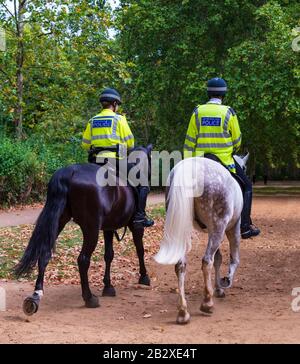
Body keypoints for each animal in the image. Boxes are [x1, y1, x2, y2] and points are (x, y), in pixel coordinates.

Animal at [14, 144, 152, 312]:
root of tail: (69, 172)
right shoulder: (135, 226)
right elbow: (140, 249)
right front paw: (144, 276)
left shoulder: (108, 228)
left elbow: (109, 255)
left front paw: (108, 286)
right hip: (90, 228)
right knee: (83, 259)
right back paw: (89, 298)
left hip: (59, 221)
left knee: (45, 253)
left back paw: (36, 296)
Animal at [155, 154, 248, 324]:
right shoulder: (233, 228)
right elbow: (233, 259)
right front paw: (225, 281)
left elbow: (219, 258)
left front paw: (218, 288)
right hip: (219, 226)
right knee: (207, 261)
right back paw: (207, 303)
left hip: (185, 227)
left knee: (181, 265)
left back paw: (183, 312)